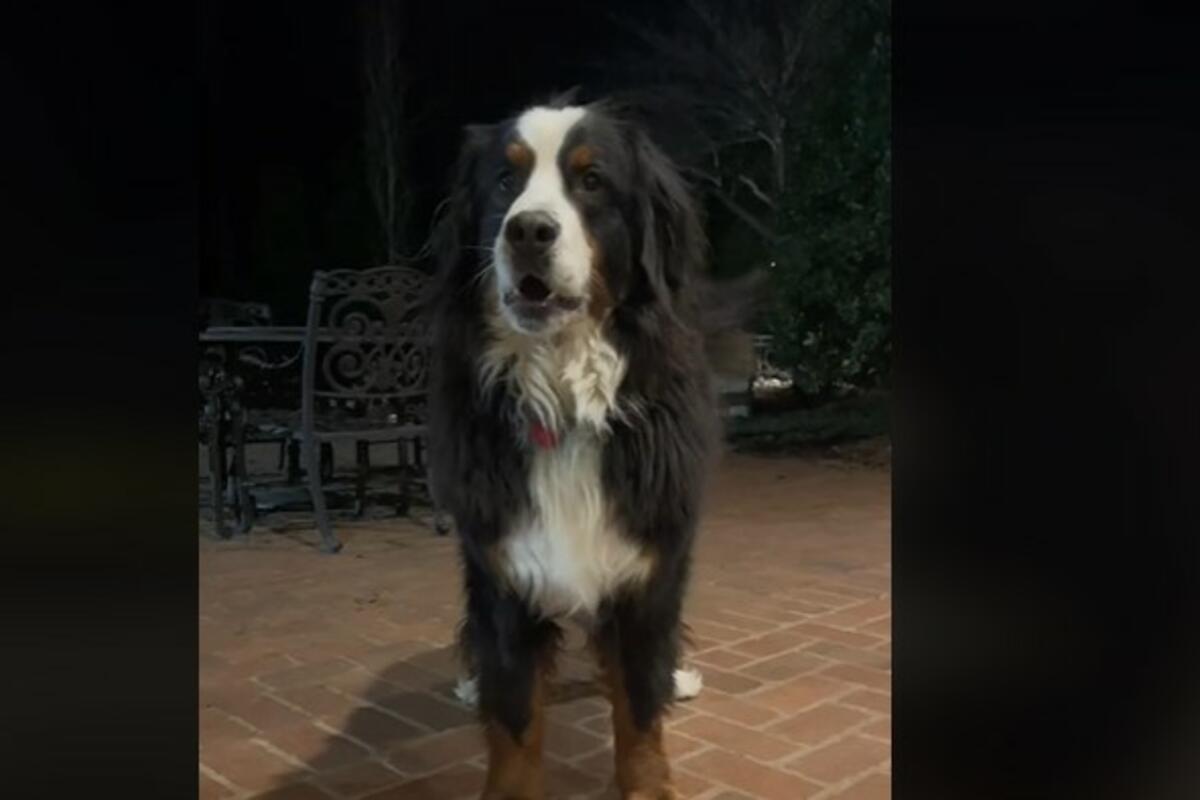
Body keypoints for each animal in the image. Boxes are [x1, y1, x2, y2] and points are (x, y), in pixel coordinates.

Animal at [426, 93, 758, 799]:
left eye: (592, 181)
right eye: (505, 181)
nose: (527, 231)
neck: (566, 400)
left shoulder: (649, 569)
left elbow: (637, 704)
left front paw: (647, 783)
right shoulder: (504, 572)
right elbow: (516, 715)